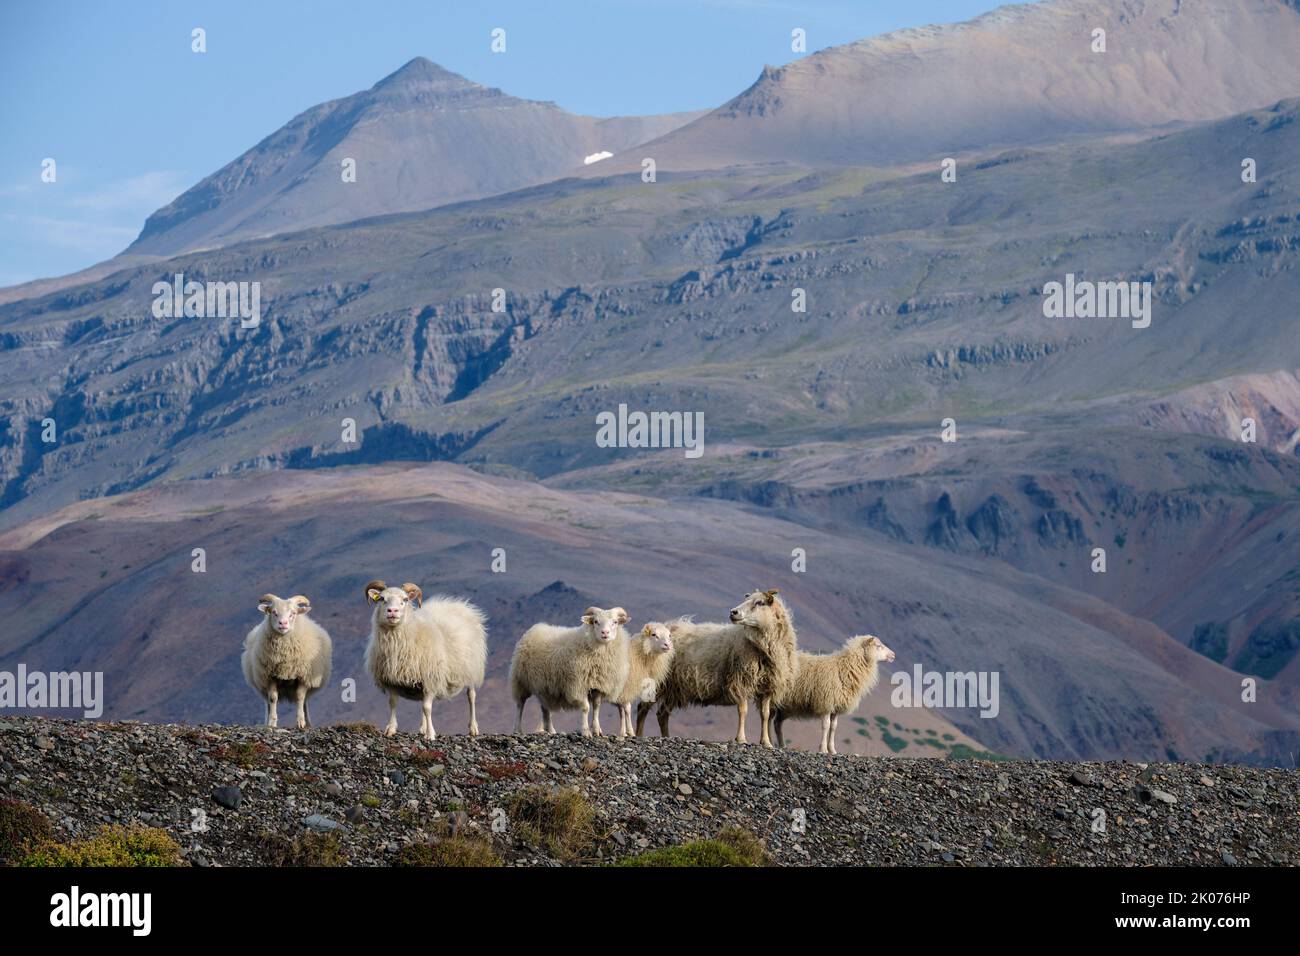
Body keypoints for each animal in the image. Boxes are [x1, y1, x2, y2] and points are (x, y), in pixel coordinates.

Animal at [240, 590, 332, 733]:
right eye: (274, 612)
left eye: (293, 613)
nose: (282, 624)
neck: (285, 657)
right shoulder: (270, 676)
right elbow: (273, 698)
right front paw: (272, 723)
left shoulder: (303, 676)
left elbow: (300, 697)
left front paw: (300, 722)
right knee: (267, 702)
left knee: (304, 702)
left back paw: (307, 722)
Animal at [361, 580, 488, 743]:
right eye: (382, 598)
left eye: (405, 599)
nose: (393, 611)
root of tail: (459, 604)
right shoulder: (392, 679)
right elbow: (393, 703)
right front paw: (391, 729)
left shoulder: (431, 678)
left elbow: (427, 708)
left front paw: (430, 734)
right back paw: (422, 727)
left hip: (472, 668)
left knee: (471, 696)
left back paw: (473, 728)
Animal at [506, 606, 629, 738]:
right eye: (596, 621)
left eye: (615, 622)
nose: (605, 633)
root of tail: (534, 629)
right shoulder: (579, 685)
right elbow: (586, 708)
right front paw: (586, 731)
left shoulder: (598, 686)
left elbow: (596, 707)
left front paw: (597, 730)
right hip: (520, 680)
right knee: (520, 704)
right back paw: (517, 730)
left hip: (545, 687)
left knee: (545, 707)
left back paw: (551, 730)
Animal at [642, 590, 795, 749]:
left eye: (760, 602)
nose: (733, 612)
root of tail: (668, 626)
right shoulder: (740, 681)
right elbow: (743, 711)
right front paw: (741, 739)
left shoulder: (768, 686)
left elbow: (765, 714)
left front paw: (766, 742)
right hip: (657, 682)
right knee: (642, 708)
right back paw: (638, 734)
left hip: (674, 688)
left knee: (662, 714)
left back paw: (667, 736)